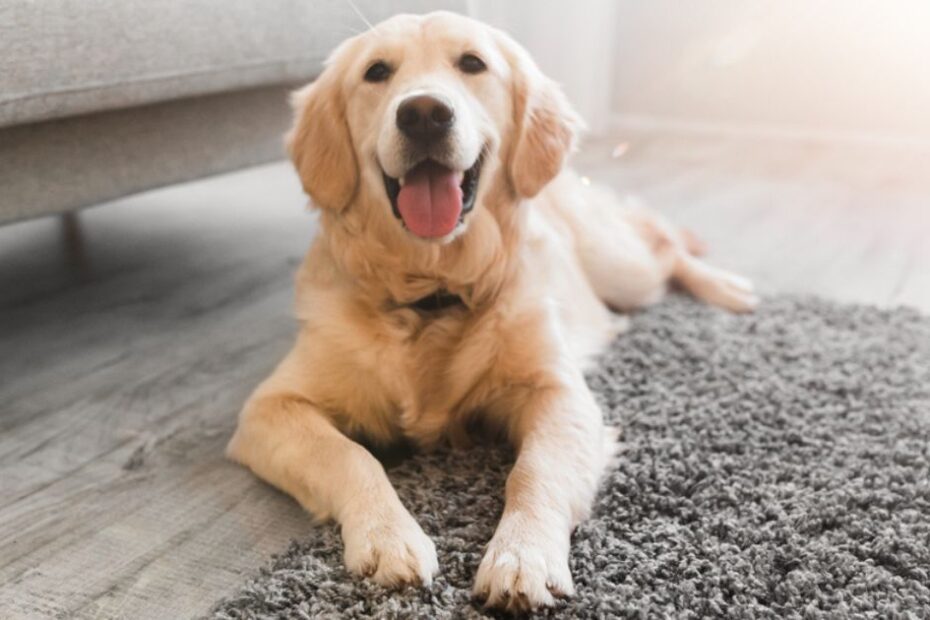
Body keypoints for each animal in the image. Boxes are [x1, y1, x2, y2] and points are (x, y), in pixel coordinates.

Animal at [227, 9, 752, 612]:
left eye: (472, 63)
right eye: (376, 71)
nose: (424, 114)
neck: (433, 291)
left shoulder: (559, 393)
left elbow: (534, 471)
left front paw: (522, 556)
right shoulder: (272, 407)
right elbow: (351, 456)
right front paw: (388, 538)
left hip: (624, 267)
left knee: (665, 246)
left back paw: (729, 286)